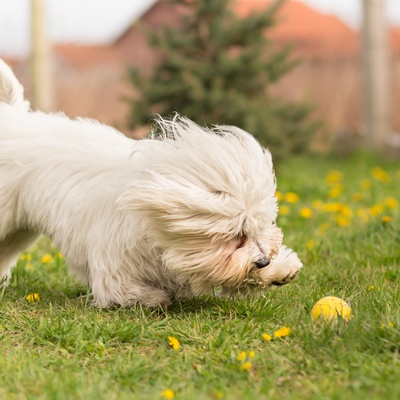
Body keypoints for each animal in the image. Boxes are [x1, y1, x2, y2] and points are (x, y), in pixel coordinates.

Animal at [0, 59, 302, 308]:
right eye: (237, 234)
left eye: (261, 225)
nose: (263, 260)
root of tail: (11, 119)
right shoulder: (114, 262)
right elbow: (121, 289)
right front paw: (154, 297)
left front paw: (280, 268)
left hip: (19, 231)